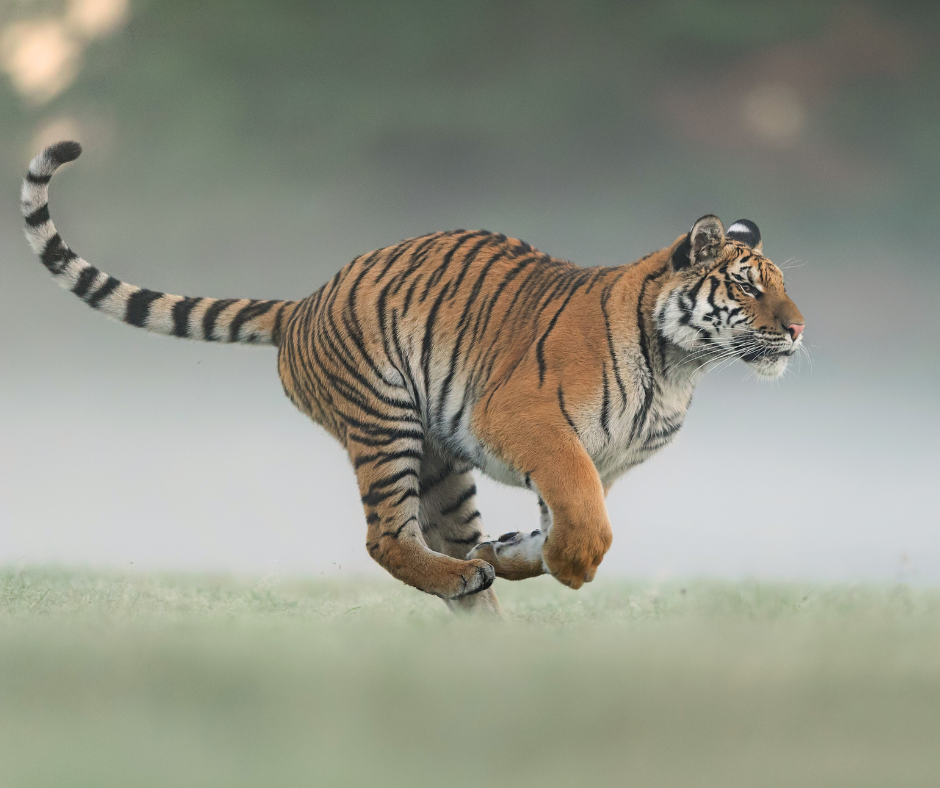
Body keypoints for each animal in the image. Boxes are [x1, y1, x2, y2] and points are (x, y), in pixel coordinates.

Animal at [22, 141, 805, 615]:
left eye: (781, 286)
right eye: (748, 286)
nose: (799, 329)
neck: (679, 367)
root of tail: (303, 303)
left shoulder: (598, 460)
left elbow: (566, 515)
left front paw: (515, 553)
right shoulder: (531, 424)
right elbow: (584, 521)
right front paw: (570, 563)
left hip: (440, 461)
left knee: (439, 548)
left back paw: (483, 613)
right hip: (385, 418)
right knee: (386, 538)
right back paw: (465, 580)